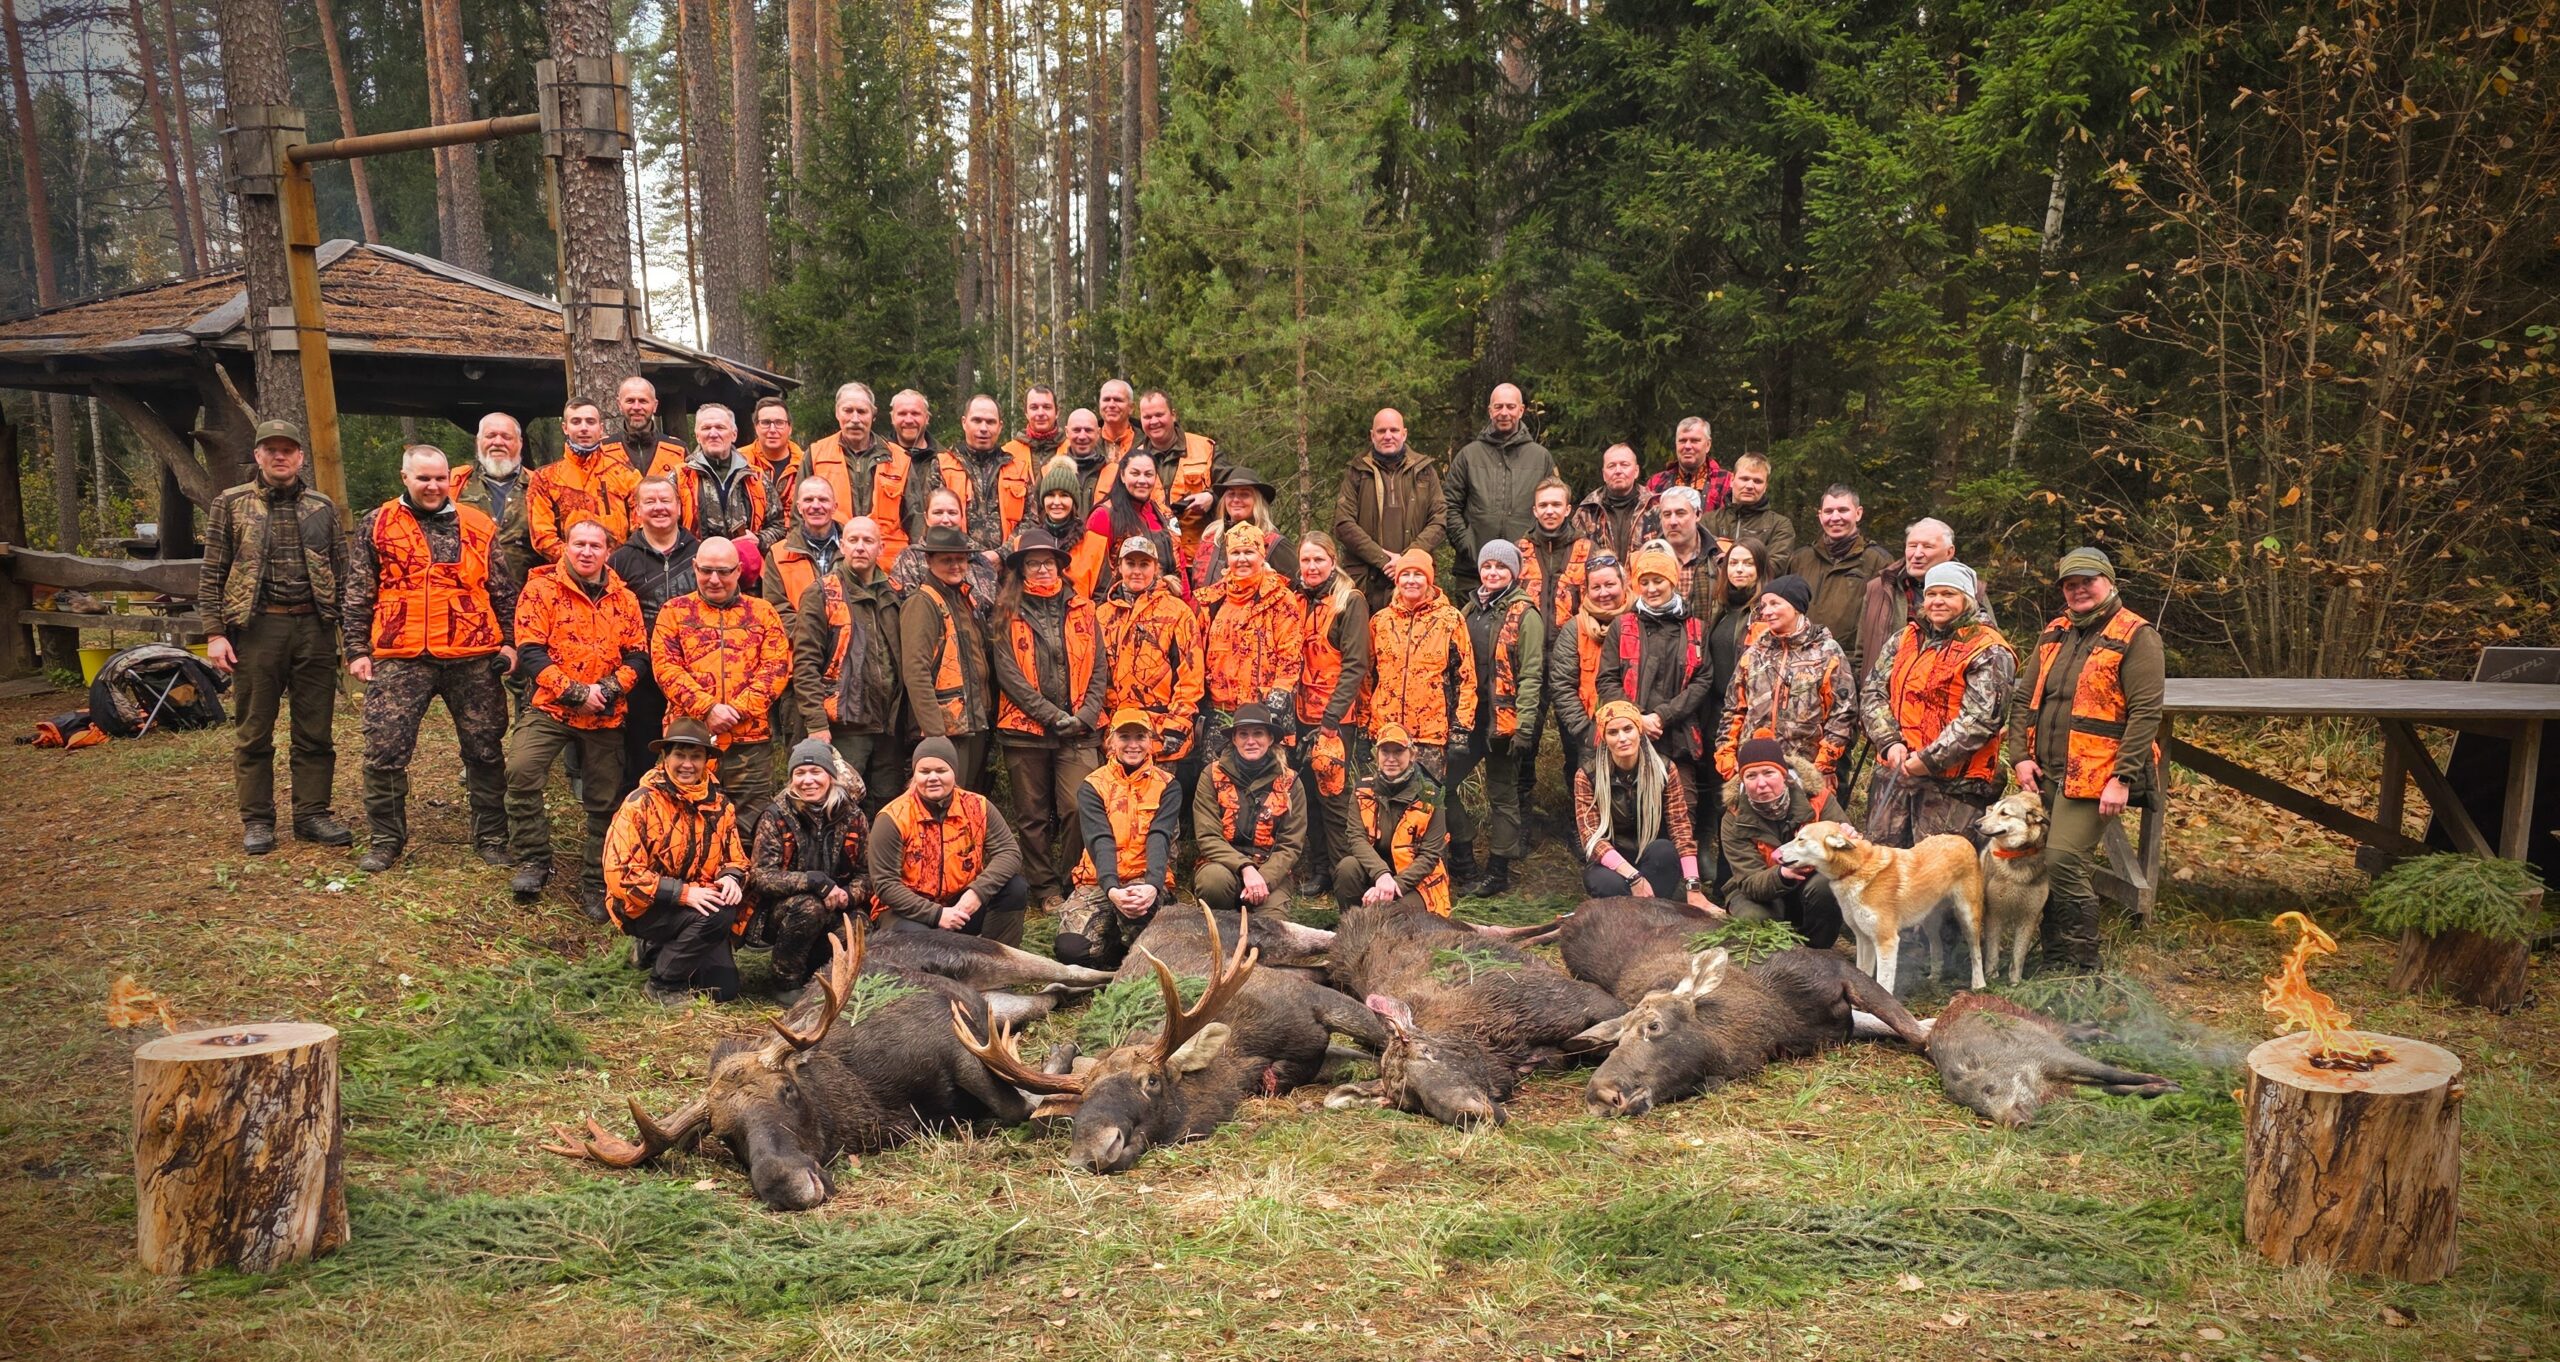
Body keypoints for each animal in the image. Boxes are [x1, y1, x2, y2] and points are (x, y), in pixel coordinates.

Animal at [546, 917, 1057, 1210]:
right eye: (724, 1135)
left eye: (787, 1090)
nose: (786, 1187)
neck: (874, 1109)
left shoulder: (949, 1040)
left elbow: (1018, 1106)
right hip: (998, 999)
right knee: (1041, 1000)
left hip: (982, 953)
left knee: (1063, 973)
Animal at [951, 904, 1389, 1173]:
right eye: (1083, 1100)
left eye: (1151, 1081)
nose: (1091, 1151)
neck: (1241, 1056)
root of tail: (1174, 906)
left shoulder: (1308, 1003)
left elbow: (1383, 1035)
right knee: (1319, 965)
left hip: (1260, 933)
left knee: (1315, 934)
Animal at [1558, 896, 1932, 1117]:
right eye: (1615, 1042)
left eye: (1653, 1025)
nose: (1600, 1095)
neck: (1776, 1019)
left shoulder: (1835, 970)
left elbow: (1909, 1027)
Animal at [1775, 820, 1986, 994]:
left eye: (1801, 839)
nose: (1775, 854)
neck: (1856, 868)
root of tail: (1961, 838)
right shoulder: (1864, 938)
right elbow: (1863, 974)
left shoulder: (1886, 942)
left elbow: (1883, 984)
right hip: (1929, 921)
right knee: (1937, 947)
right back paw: (1934, 977)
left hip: (1968, 917)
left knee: (1975, 952)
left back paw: (1979, 984)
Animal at [1974, 793, 2052, 984]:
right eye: (1994, 810)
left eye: (2004, 813)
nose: (1976, 824)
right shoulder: (1994, 913)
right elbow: (1992, 951)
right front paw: (1991, 976)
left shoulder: (2029, 916)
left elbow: (2019, 955)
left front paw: (2015, 981)